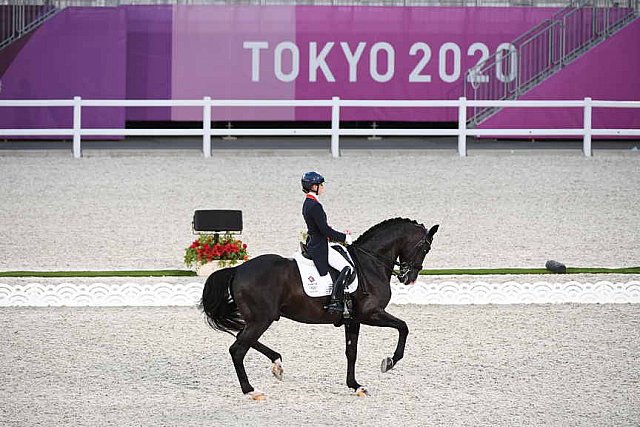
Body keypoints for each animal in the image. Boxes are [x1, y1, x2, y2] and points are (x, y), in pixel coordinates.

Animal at [200, 219, 440, 400]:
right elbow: (403, 327)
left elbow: (351, 352)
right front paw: (389, 362)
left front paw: (356, 385)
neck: (371, 262)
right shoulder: (370, 314)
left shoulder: (353, 319)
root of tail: (238, 269)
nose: (408, 278)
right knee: (238, 349)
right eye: (425, 248)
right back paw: (251, 391)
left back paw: (277, 363)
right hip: (261, 319)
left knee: (241, 338)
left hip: (259, 319)